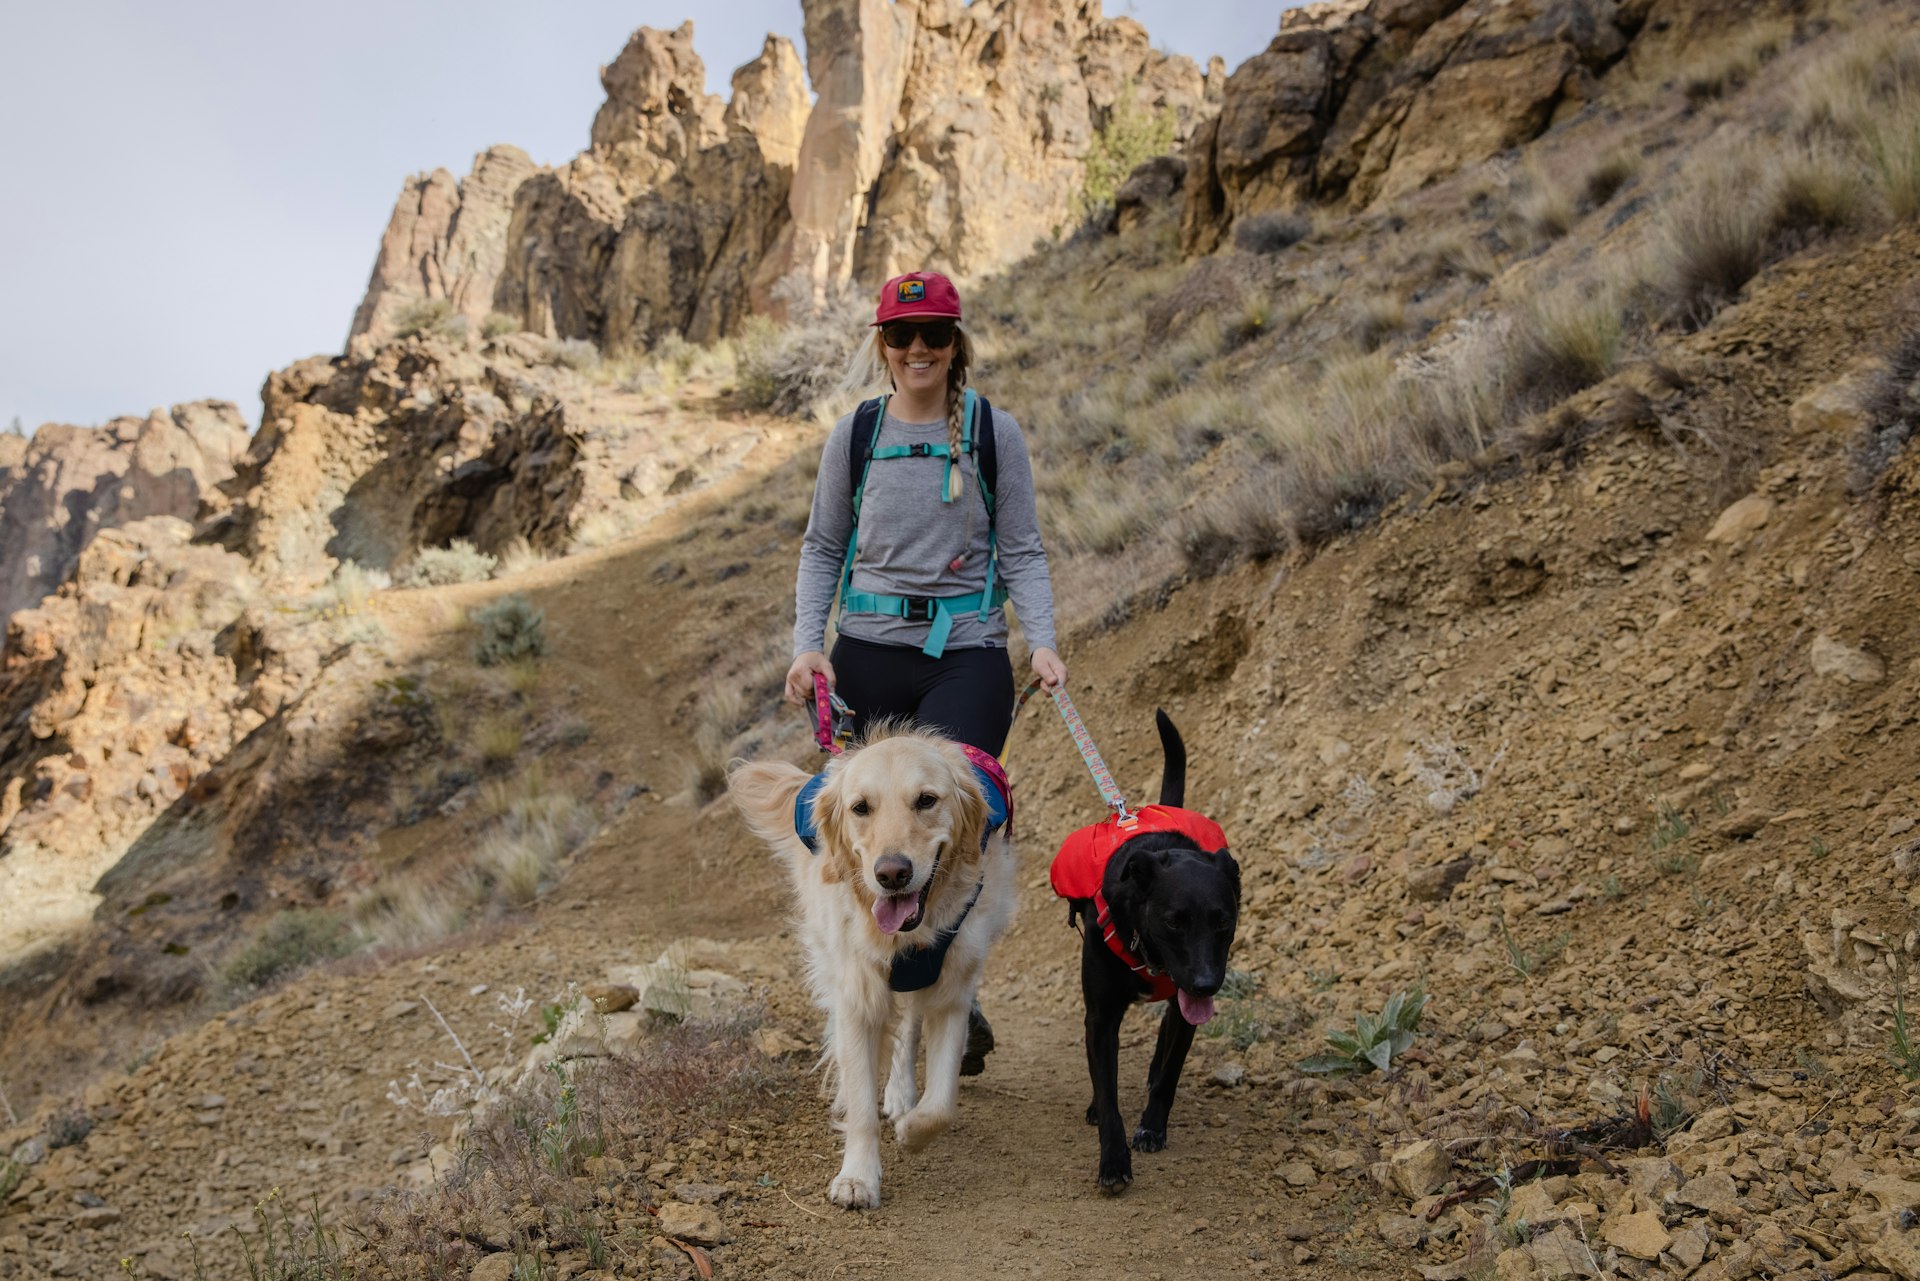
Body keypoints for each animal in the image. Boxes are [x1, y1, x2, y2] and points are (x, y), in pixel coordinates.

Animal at [1052, 710, 1244, 1190]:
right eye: (1174, 921)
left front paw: (1152, 1127)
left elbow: (1169, 1073)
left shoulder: (1185, 1010)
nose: (1207, 984)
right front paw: (1113, 1159)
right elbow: (1108, 1094)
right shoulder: (1101, 1018)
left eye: (1223, 922)